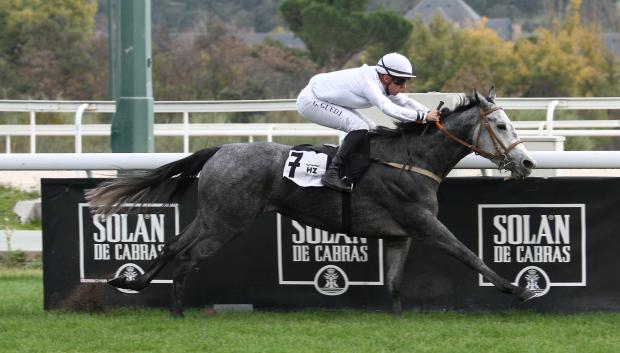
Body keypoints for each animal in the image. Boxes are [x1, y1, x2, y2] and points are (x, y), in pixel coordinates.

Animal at [87, 88, 536, 316]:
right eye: (500, 125)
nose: (527, 162)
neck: (411, 160)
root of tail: (220, 150)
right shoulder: (424, 223)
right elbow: (469, 254)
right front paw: (518, 289)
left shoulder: (399, 235)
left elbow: (393, 283)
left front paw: (398, 322)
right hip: (228, 223)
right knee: (186, 256)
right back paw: (177, 313)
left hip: (214, 215)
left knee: (172, 244)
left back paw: (132, 282)